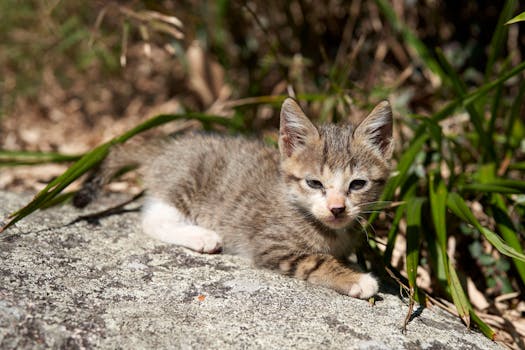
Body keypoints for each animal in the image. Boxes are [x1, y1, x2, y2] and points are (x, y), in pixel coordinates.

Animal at [74, 98, 392, 298]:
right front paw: (356, 279)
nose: (337, 208)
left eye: (357, 184)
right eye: (314, 183)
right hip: (187, 180)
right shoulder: (272, 246)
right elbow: (316, 262)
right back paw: (203, 237)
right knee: (153, 220)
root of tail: (164, 149)